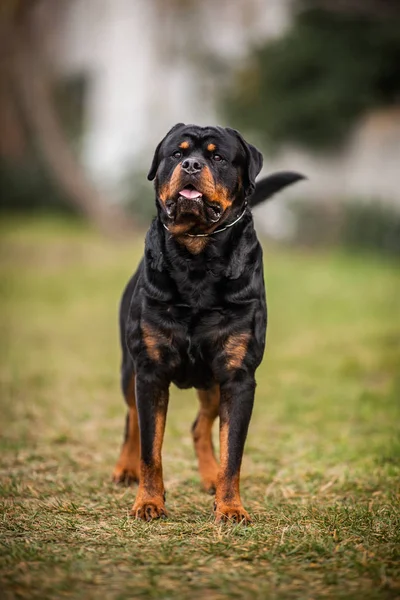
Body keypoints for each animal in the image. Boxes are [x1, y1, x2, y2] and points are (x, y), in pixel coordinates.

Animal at [111, 124, 304, 524]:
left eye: (218, 157)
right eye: (176, 153)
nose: (192, 164)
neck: (197, 254)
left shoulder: (238, 376)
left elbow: (233, 452)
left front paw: (230, 506)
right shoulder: (150, 370)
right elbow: (151, 449)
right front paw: (148, 502)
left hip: (212, 383)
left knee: (200, 426)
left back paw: (210, 477)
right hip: (128, 368)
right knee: (132, 420)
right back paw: (125, 468)